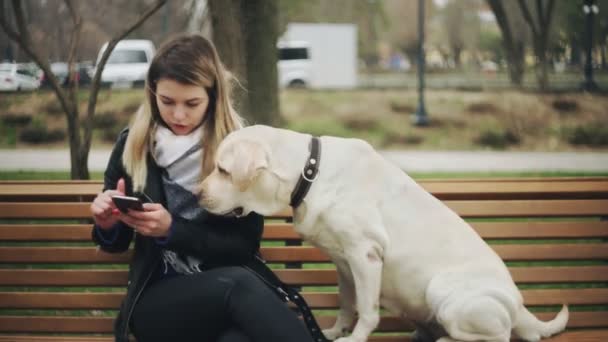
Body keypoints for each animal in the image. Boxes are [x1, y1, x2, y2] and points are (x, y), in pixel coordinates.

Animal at [200, 125, 568, 342]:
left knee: (497, 338)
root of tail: (520, 307)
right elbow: (347, 304)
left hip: (445, 292)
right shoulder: (344, 263)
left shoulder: (365, 255)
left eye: (223, 170)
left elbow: (367, 310)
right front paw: (334, 331)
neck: (310, 172)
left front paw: (354, 338)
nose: (197, 194)